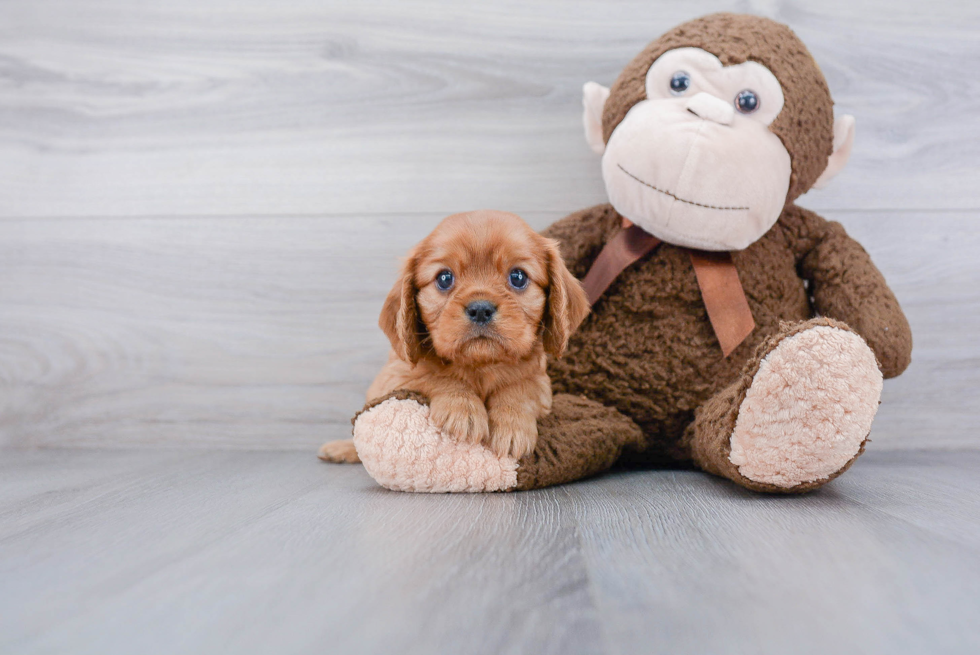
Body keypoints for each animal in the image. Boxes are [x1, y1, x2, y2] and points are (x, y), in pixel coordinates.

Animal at [320, 209, 588, 462]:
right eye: (444, 278)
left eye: (518, 277)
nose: (480, 309)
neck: (480, 366)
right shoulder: (395, 376)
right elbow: (434, 375)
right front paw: (463, 408)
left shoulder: (541, 383)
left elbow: (521, 387)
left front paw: (512, 425)